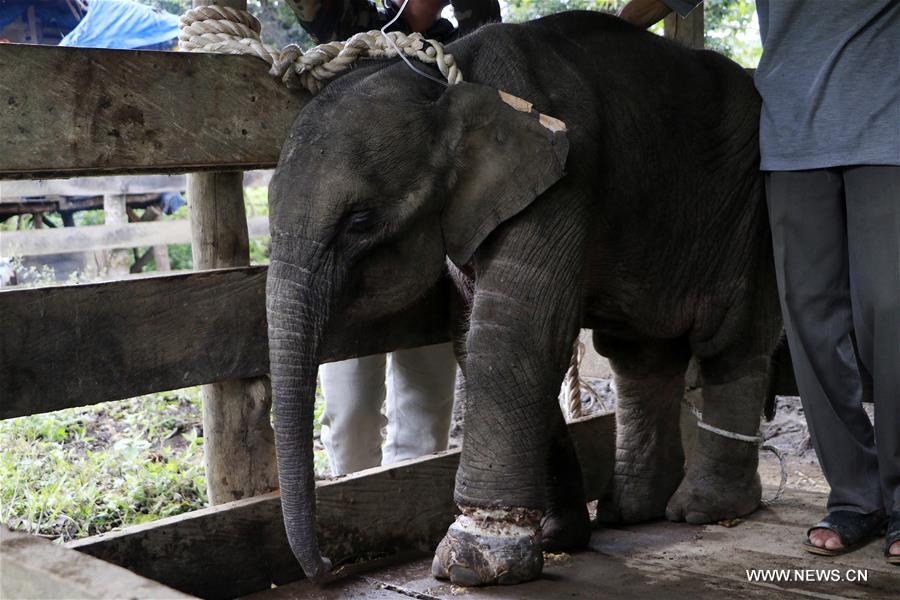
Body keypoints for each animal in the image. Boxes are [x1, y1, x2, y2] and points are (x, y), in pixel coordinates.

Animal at [266, 11, 780, 588]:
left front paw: (473, 562)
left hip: (751, 210)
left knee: (732, 340)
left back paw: (706, 510)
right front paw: (557, 537)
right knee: (640, 354)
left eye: (360, 222)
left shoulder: (565, 177)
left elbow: (514, 328)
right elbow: (477, 336)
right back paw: (630, 512)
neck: (450, 84)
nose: (327, 568)